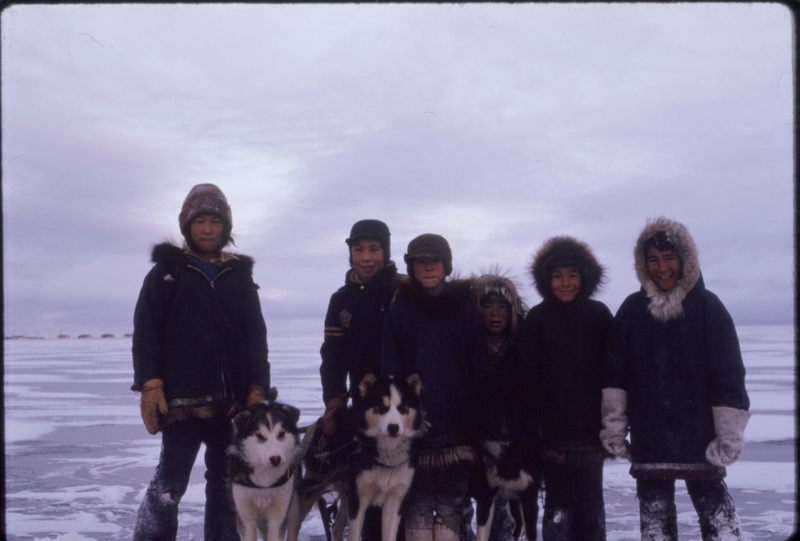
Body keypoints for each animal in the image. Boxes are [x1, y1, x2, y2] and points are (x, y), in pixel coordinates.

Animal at [228, 396, 304, 540]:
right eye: (260, 436)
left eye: (281, 434)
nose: (275, 459)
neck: (264, 483)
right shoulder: (245, 515)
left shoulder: (279, 514)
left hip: (294, 507)